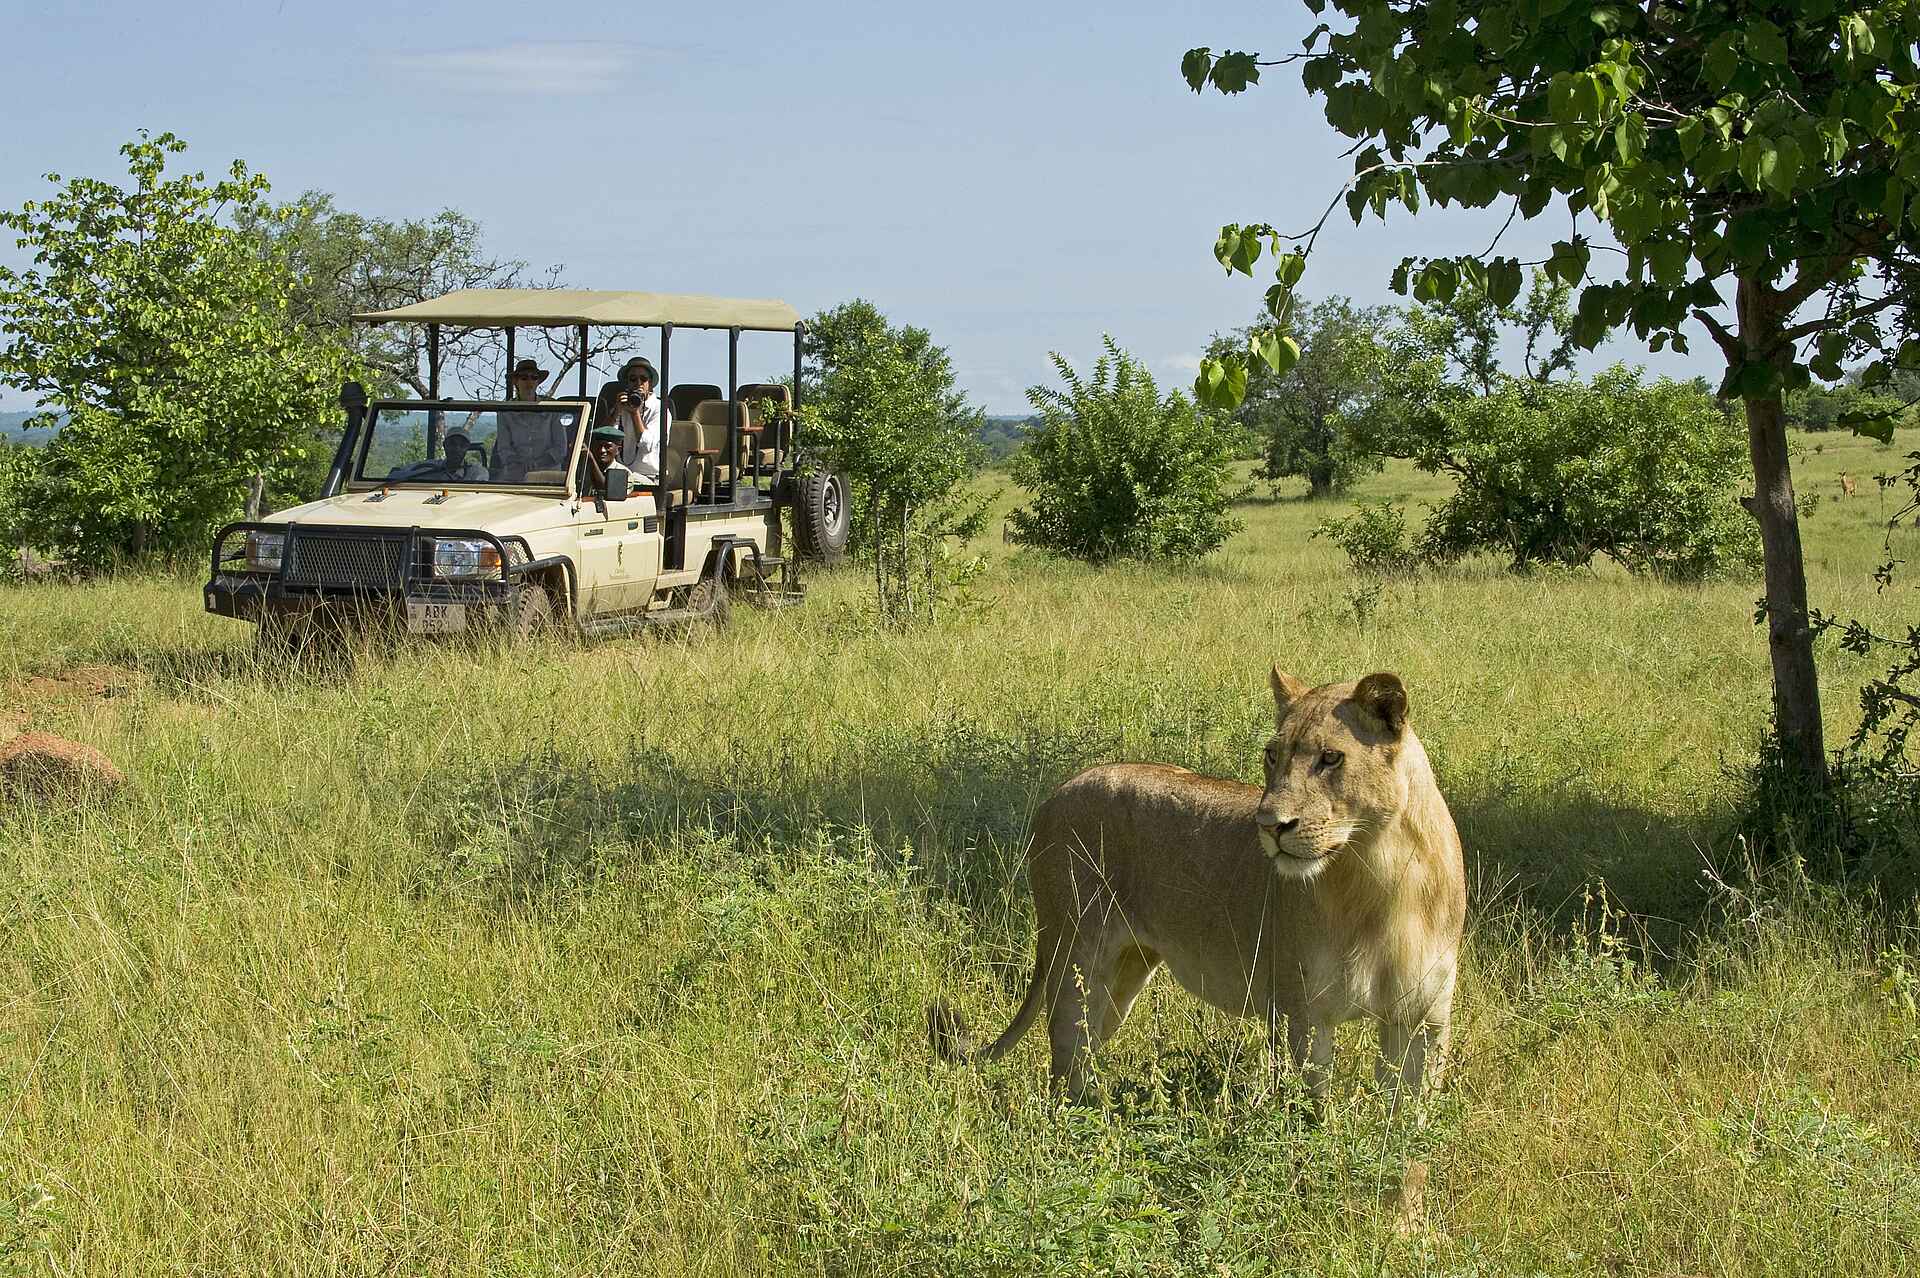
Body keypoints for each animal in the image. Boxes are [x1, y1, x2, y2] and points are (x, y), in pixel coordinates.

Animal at [929, 666, 1467, 1107]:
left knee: (1085, 1048)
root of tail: (1055, 793)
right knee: (1063, 1053)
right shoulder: (1301, 1013)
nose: (1270, 825)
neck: (1379, 875)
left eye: (1331, 758)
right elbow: (1310, 1113)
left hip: (1122, 975)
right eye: (1272, 756)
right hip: (1075, 954)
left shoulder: (1423, 1018)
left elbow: (1409, 1122)